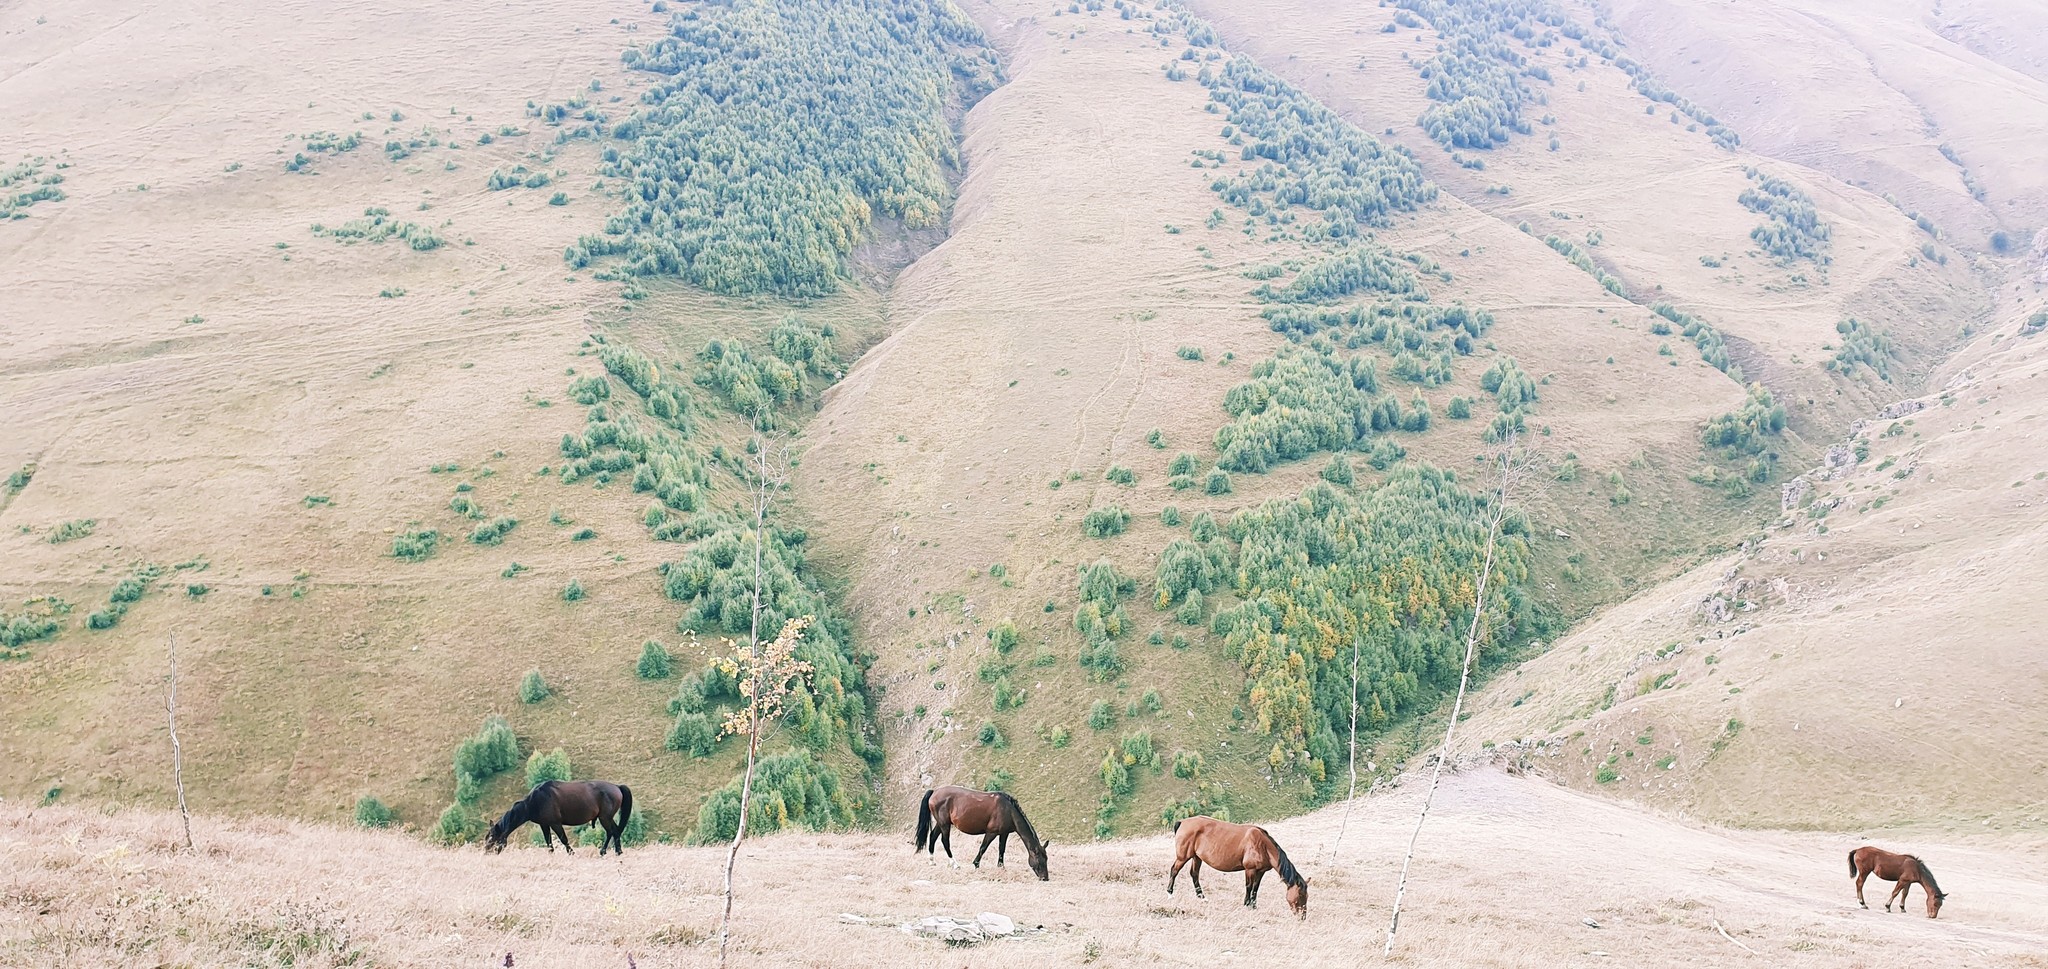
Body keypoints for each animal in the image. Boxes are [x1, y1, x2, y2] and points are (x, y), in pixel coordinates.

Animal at [485, 778, 630, 852]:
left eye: (492, 837)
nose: (486, 852)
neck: (534, 802)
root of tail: (617, 787)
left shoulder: (555, 823)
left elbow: (563, 839)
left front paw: (571, 853)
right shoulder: (544, 825)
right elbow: (549, 842)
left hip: (604, 818)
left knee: (611, 832)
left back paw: (606, 851)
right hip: (608, 818)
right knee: (615, 831)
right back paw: (615, 851)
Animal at [913, 786, 1048, 876]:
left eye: (1046, 859)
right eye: (1041, 860)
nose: (1045, 878)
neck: (1008, 810)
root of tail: (934, 792)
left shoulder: (1004, 833)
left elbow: (1002, 849)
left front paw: (1001, 867)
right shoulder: (991, 833)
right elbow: (983, 847)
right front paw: (976, 864)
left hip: (941, 824)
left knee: (933, 837)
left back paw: (932, 861)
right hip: (945, 825)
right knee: (945, 841)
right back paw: (954, 864)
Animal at [1171, 811, 1310, 917]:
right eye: (1301, 894)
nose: (1302, 916)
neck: (1263, 845)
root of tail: (1182, 822)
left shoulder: (1261, 871)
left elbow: (1256, 888)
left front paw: (1254, 905)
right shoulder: (1250, 869)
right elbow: (1249, 886)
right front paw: (1246, 904)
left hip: (1196, 857)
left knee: (1194, 874)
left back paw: (1202, 897)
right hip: (1183, 857)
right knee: (1174, 870)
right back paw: (1170, 894)